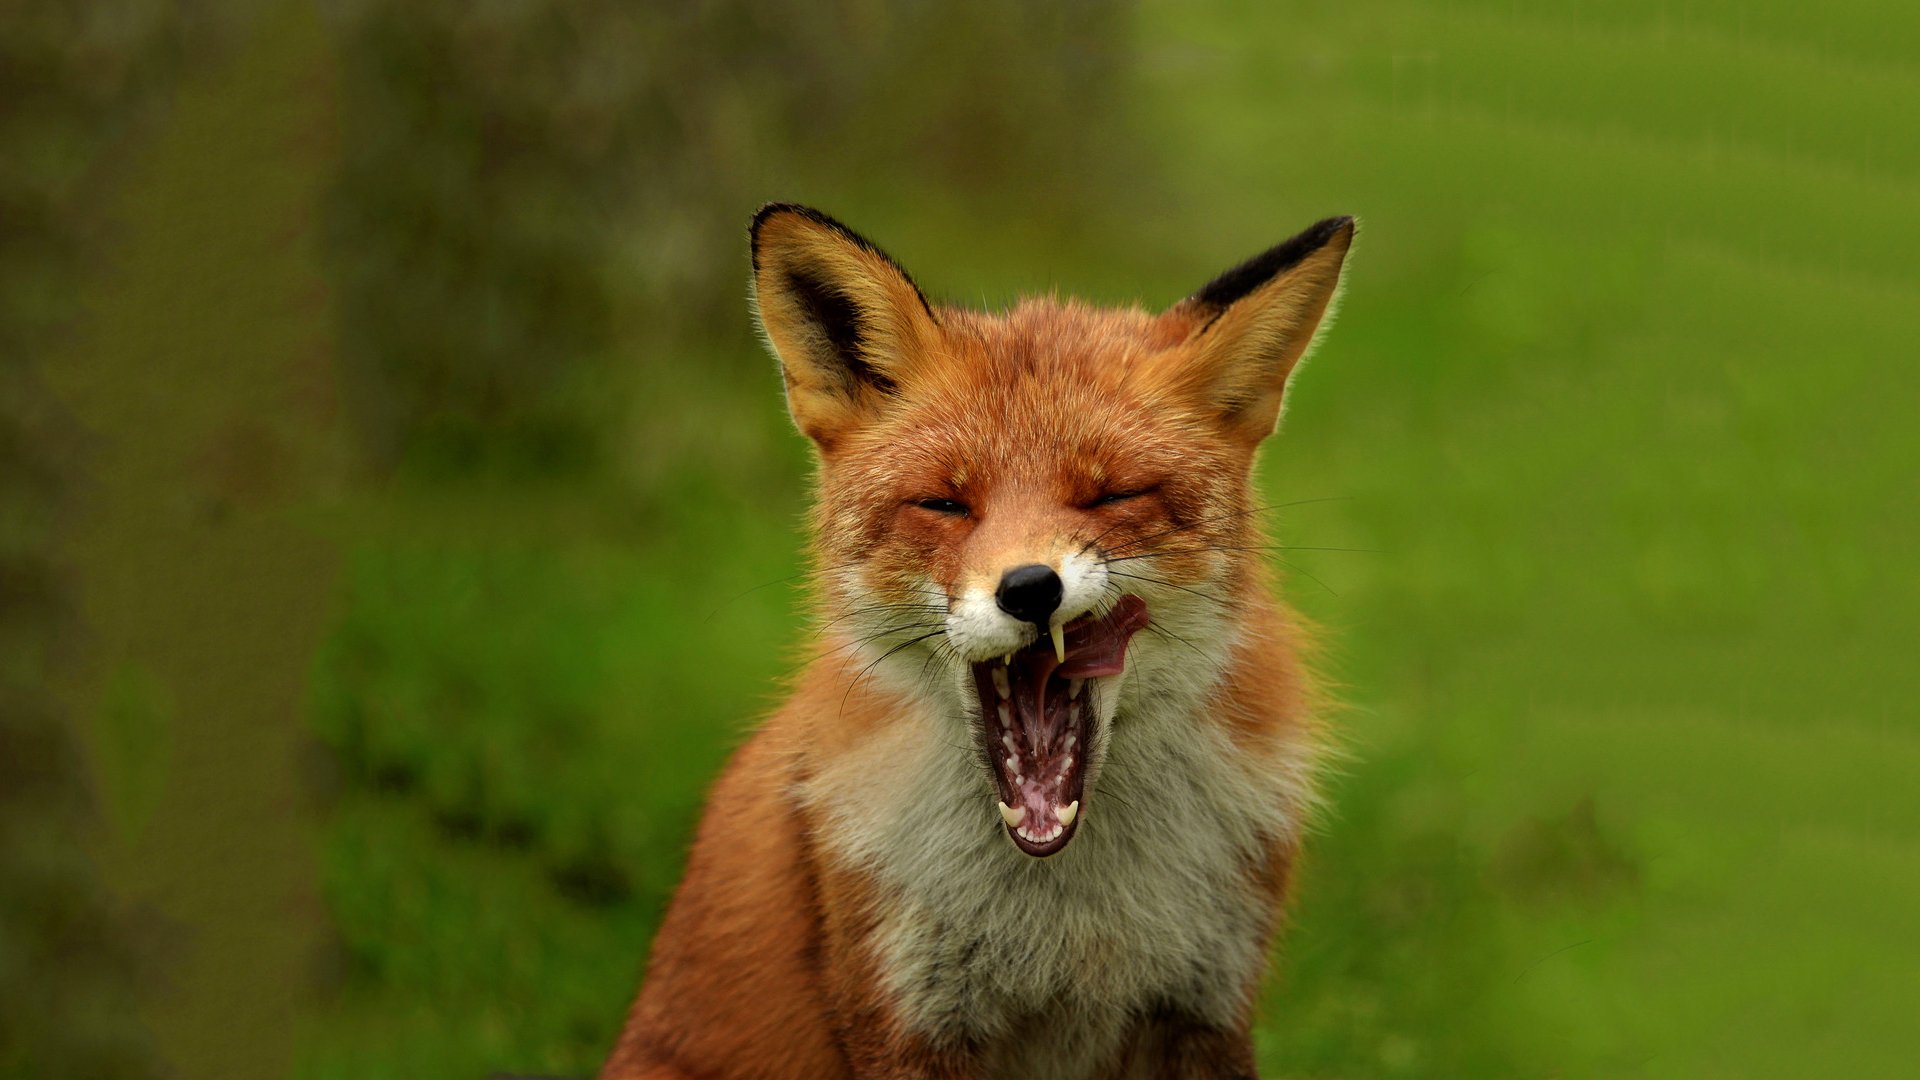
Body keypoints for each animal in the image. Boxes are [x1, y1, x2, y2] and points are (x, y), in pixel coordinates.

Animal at [600, 204, 1356, 1080]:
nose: (1029, 588)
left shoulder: (1205, 1006)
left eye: (1112, 495)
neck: (1067, 916)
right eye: (945, 504)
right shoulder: (906, 1019)